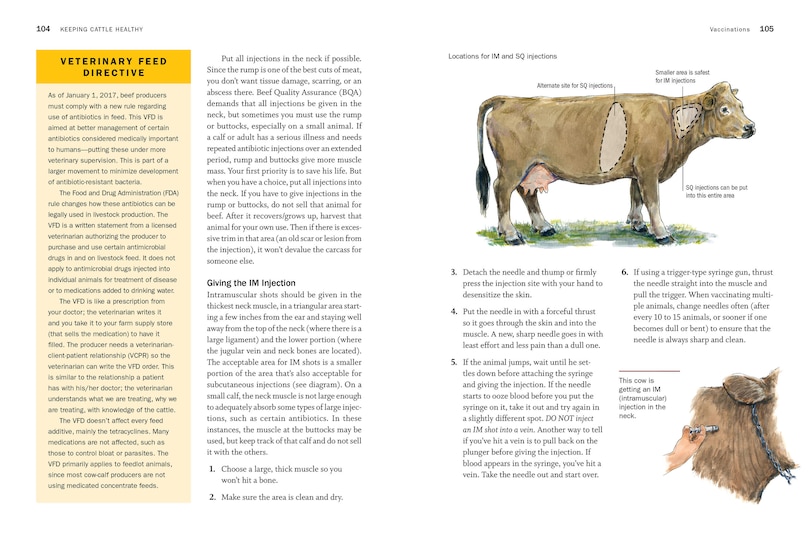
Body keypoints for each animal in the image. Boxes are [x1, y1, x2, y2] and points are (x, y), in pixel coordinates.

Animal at [476, 82, 755, 245]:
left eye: (740, 105)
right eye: (724, 109)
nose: (750, 127)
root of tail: (508, 99)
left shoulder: (637, 170)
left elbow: (636, 196)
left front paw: (638, 224)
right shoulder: (648, 168)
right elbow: (653, 201)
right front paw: (662, 233)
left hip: (532, 167)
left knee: (526, 193)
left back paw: (543, 227)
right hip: (512, 166)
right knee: (502, 190)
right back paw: (511, 234)